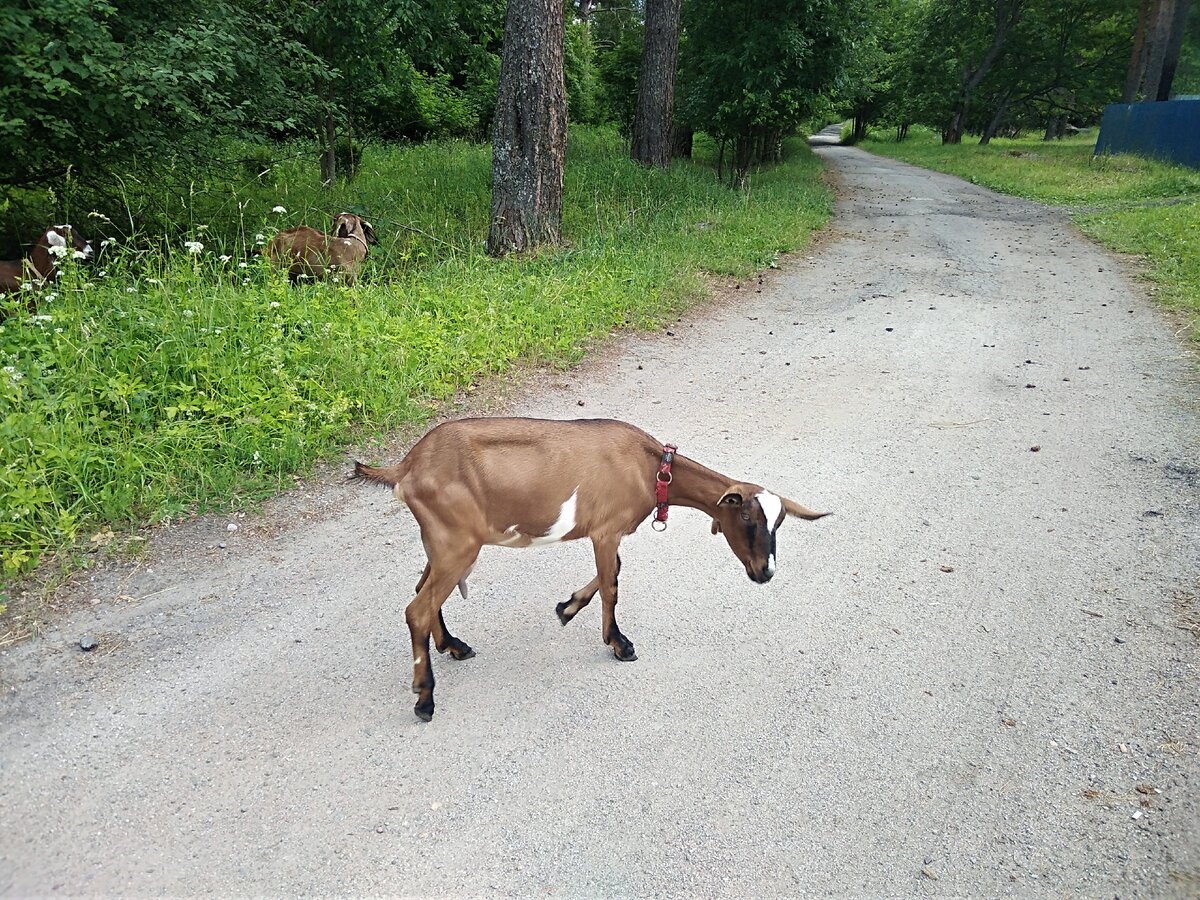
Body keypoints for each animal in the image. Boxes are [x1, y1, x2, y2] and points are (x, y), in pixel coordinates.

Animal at [350, 420, 830, 724]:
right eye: (747, 517)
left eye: (779, 522)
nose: (765, 572)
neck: (651, 468)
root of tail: (408, 466)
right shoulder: (606, 530)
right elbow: (613, 582)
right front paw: (619, 644)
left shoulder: (606, 533)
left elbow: (611, 572)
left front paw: (566, 608)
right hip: (456, 543)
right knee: (416, 607)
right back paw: (424, 698)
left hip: (444, 543)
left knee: (423, 593)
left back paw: (453, 645)